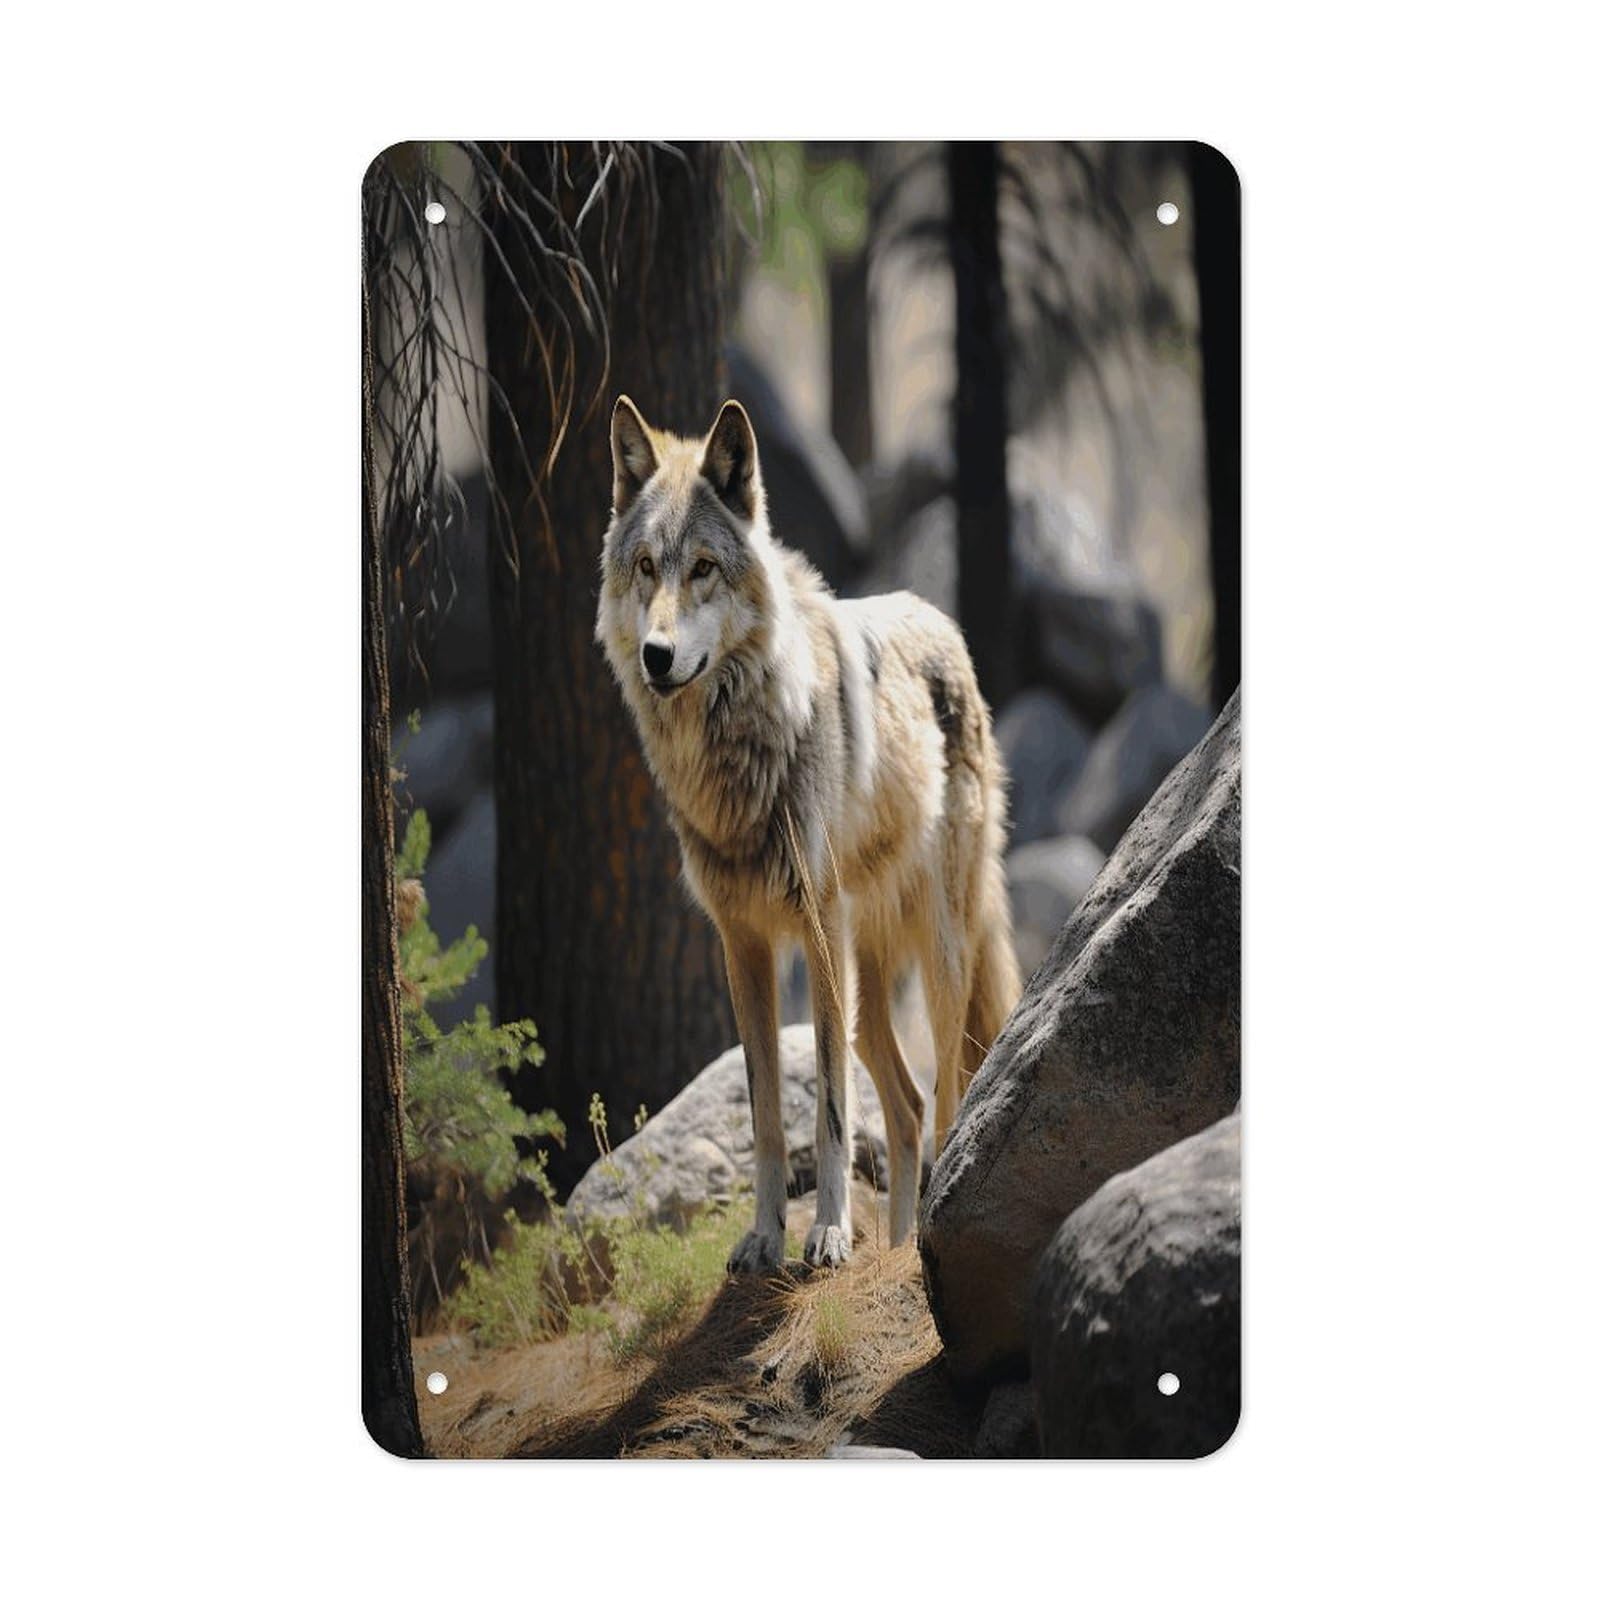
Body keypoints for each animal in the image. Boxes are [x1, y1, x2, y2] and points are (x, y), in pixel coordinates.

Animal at [595, 395, 1021, 1272]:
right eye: (647, 566)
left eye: (703, 569)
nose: (656, 655)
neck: (736, 753)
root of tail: (941, 621)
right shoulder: (742, 943)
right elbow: (764, 1112)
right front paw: (765, 1237)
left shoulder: (817, 928)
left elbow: (826, 1105)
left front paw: (826, 1233)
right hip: (868, 985)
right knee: (906, 1106)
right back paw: (900, 1241)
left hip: (936, 956)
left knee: (947, 1092)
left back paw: (924, 1231)